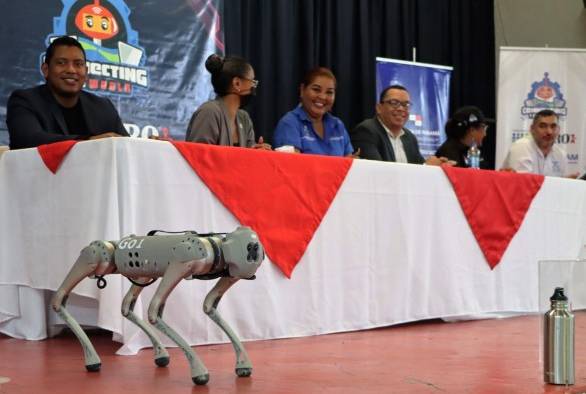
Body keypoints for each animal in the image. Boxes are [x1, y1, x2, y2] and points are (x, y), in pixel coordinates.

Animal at [50, 226, 264, 384]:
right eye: (249, 249)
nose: (255, 249)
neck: (218, 248)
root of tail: (116, 244)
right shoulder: (182, 260)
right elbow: (154, 311)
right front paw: (199, 372)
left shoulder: (229, 274)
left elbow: (209, 304)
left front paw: (243, 364)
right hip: (98, 257)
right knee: (59, 298)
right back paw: (92, 360)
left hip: (143, 274)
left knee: (126, 306)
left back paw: (160, 354)